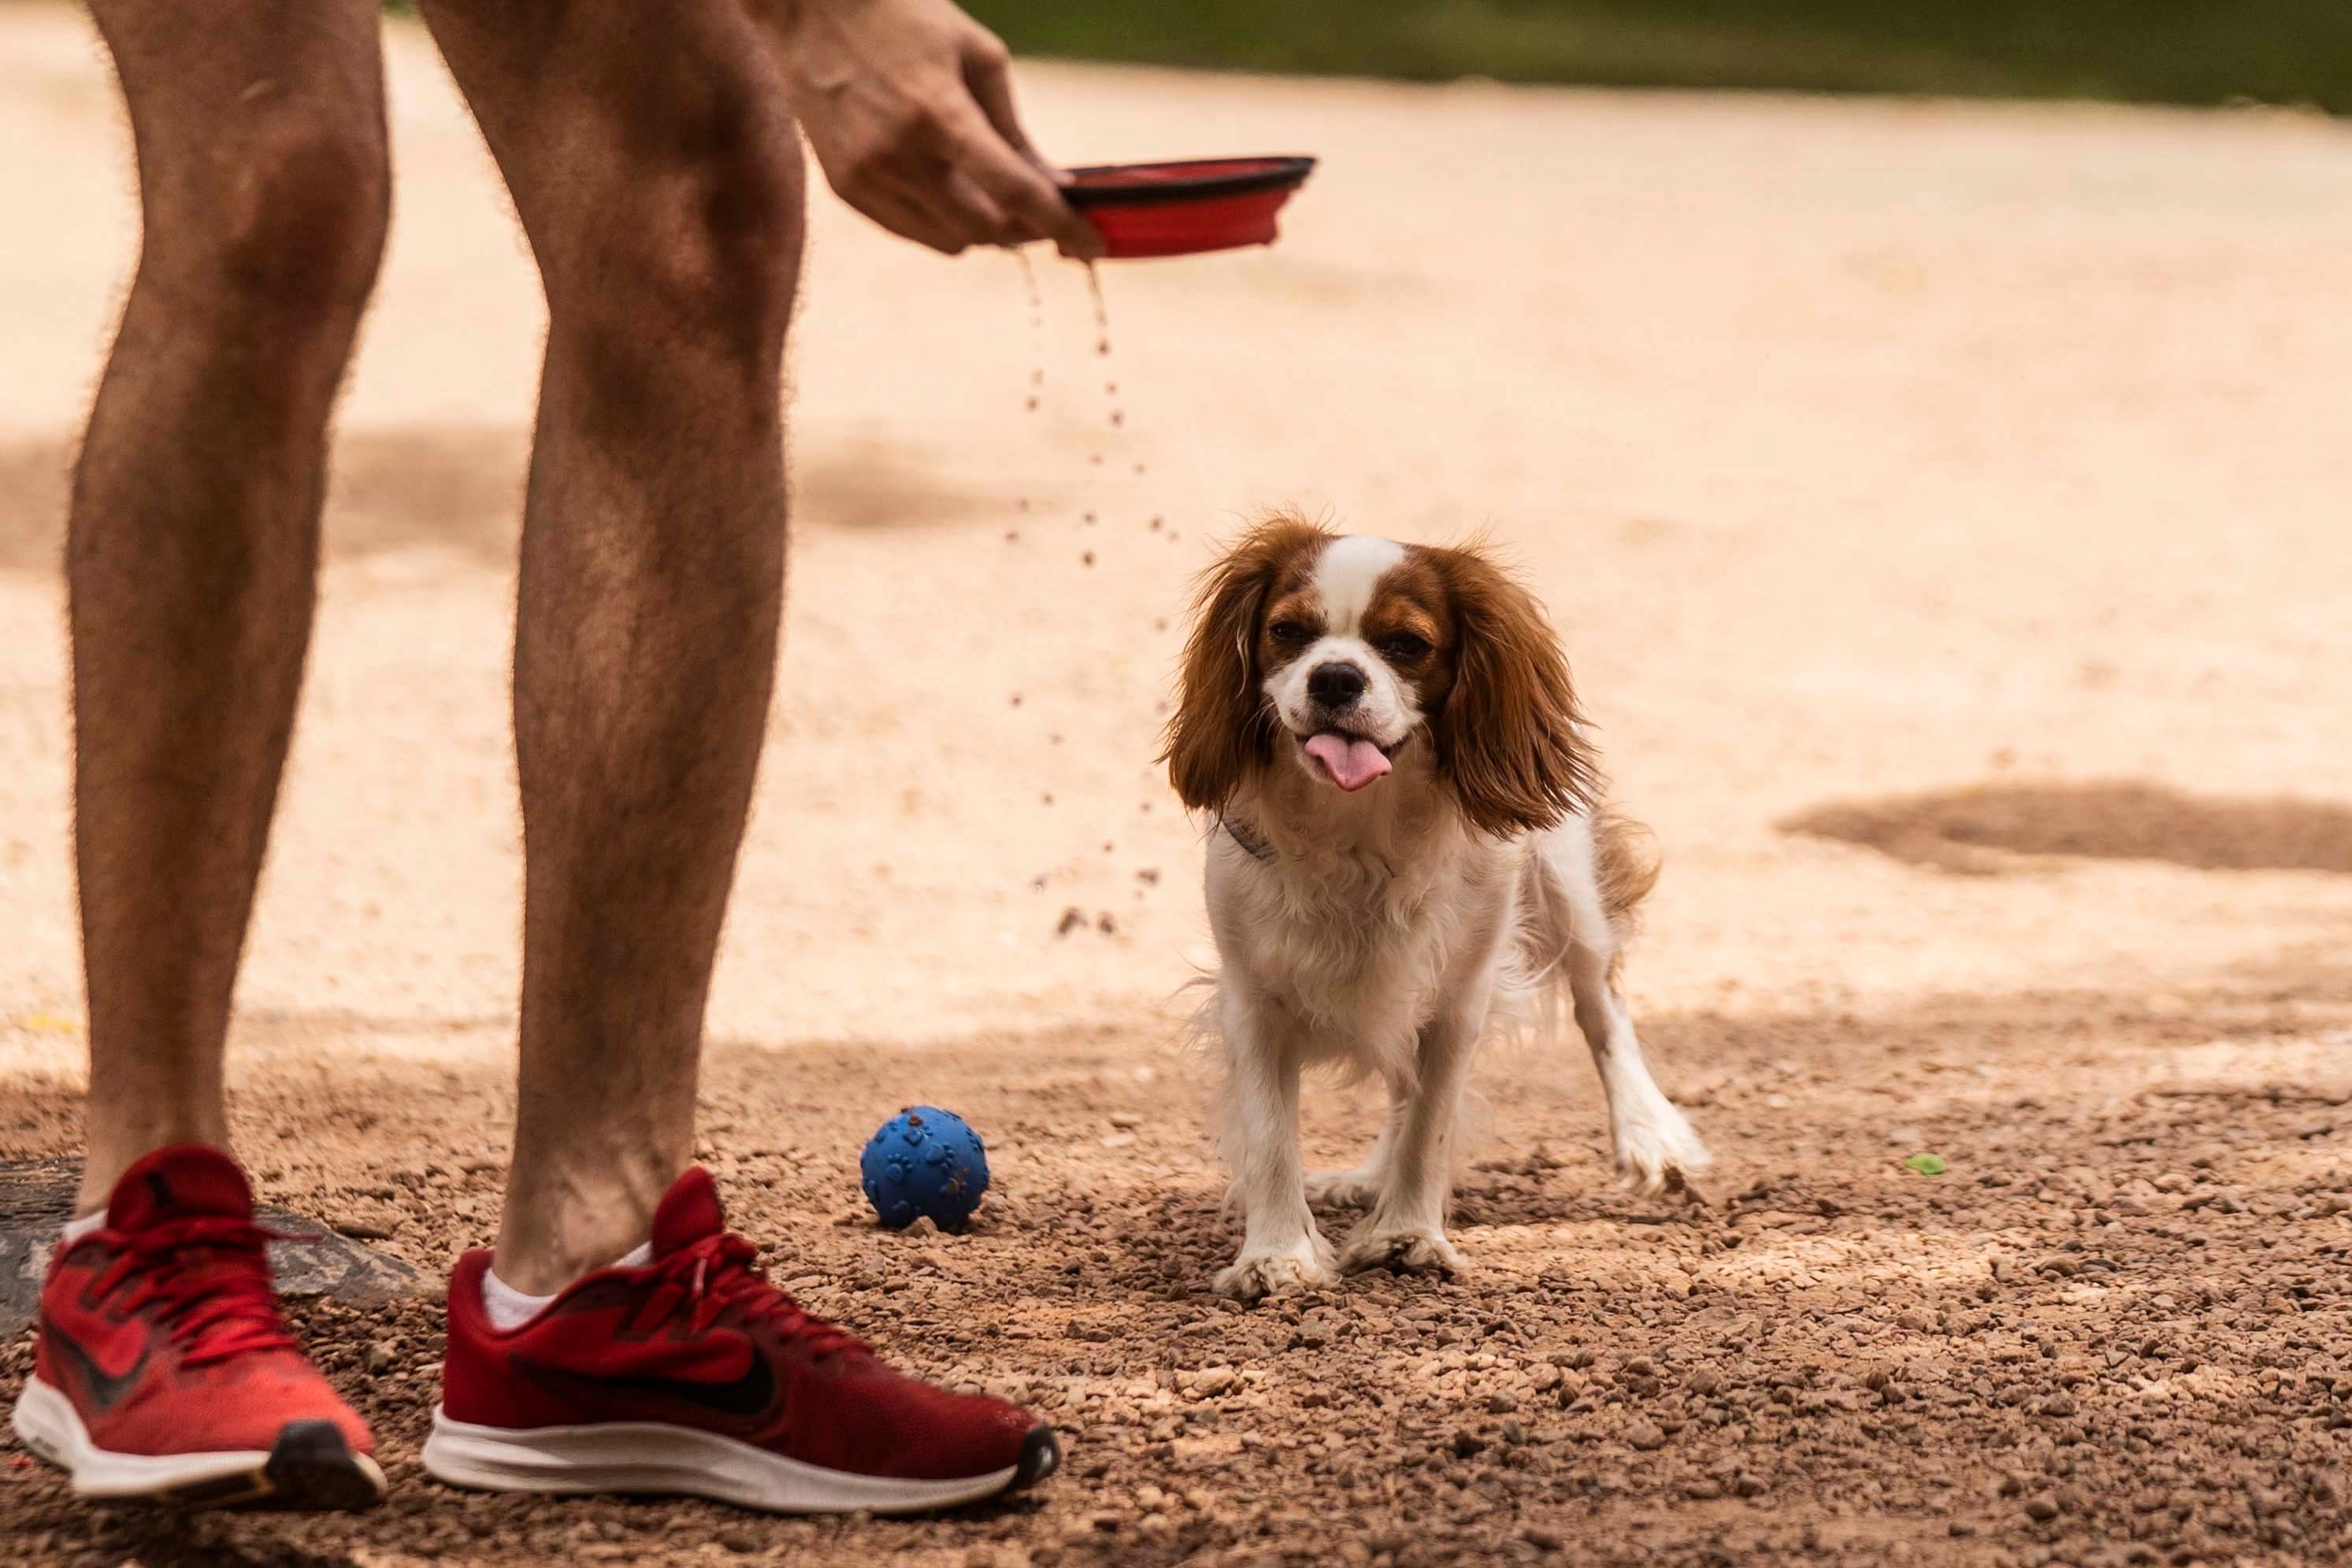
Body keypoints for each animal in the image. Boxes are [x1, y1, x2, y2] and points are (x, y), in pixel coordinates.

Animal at [1162, 514, 1702, 1297]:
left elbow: (1431, 1122)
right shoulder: (1253, 998)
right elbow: (1271, 1137)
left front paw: (1407, 1236)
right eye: (1287, 632)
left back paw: (1649, 1135)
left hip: (1569, 890)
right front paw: (1278, 1255)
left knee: (1601, 1006)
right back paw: (1366, 1177)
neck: (1359, 826)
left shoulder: (1458, 999)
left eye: (1407, 644)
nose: (1335, 676)